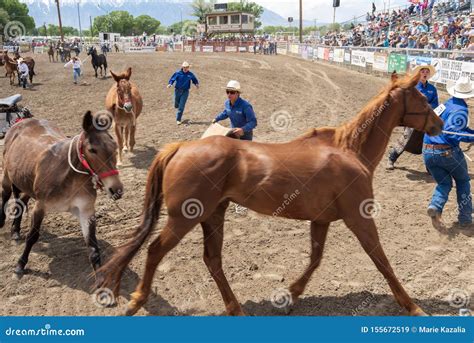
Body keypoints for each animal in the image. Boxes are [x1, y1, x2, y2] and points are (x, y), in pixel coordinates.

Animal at [0, 111, 124, 278]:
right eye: (92, 150)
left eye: (115, 147)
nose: (116, 189)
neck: (70, 177)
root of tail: (21, 121)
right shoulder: (40, 207)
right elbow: (32, 236)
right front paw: (20, 265)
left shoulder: (86, 211)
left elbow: (93, 247)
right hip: (7, 176)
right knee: (5, 195)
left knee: (22, 201)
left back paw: (15, 230)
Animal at [96, 72, 444, 318]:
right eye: (423, 97)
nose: (440, 123)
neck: (348, 151)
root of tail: (180, 147)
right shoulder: (359, 217)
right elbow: (381, 260)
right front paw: (412, 306)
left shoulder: (321, 220)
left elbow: (315, 259)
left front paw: (290, 296)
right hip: (185, 217)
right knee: (155, 251)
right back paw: (137, 300)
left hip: (213, 214)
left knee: (212, 260)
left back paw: (236, 308)